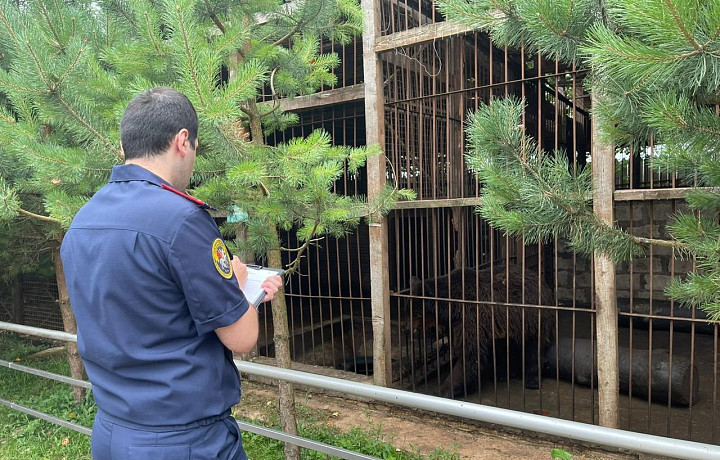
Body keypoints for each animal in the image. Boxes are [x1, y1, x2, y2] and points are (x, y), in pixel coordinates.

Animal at [410, 266, 556, 398]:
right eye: (408, 310)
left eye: (415, 313)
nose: (408, 328)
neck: (450, 307)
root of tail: (541, 280)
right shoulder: (454, 323)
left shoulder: (470, 316)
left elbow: (470, 355)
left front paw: (444, 390)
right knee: (510, 346)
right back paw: (505, 373)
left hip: (530, 317)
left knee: (533, 348)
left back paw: (532, 380)